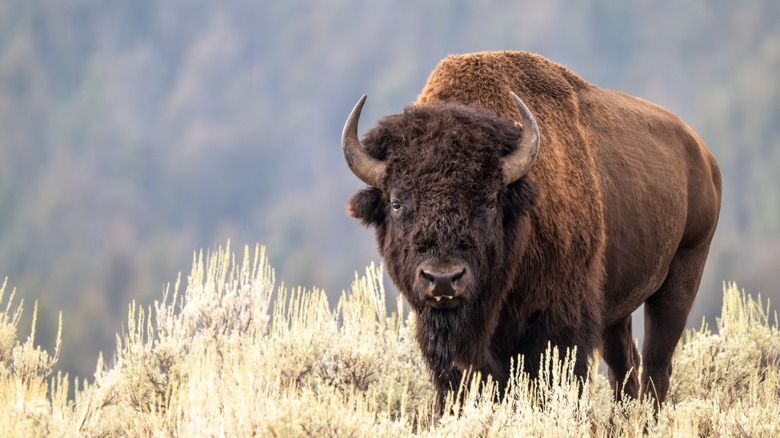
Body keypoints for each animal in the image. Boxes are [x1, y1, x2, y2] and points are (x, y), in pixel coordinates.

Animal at [344, 50, 724, 408]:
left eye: (489, 201)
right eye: (396, 202)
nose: (442, 279)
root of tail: (703, 156)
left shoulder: (560, 325)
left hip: (682, 275)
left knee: (657, 366)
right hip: (617, 306)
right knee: (624, 366)